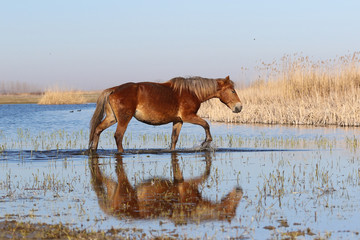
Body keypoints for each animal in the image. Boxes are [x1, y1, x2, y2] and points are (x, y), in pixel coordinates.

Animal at [88, 76, 243, 153]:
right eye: (232, 90)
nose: (239, 107)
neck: (192, 92)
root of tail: (114, 89)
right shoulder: (188, 117)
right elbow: (206, 124)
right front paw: (206, 142)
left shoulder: (178, 120)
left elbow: (174, 139)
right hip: (123, 119)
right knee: (118, 136)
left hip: (112, 118)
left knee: (98, 129)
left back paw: (93, 149)